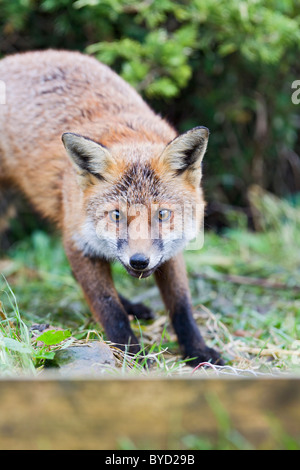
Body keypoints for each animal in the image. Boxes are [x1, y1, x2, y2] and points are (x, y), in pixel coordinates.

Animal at [0, 51, 223, 368]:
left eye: (162, 215)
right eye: (117, 215)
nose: (139, 261)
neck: (128, 135)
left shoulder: (170, 252)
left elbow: (181, 306)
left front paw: (197, 349)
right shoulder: (78, 241)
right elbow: (108, 307)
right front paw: (131, 352)